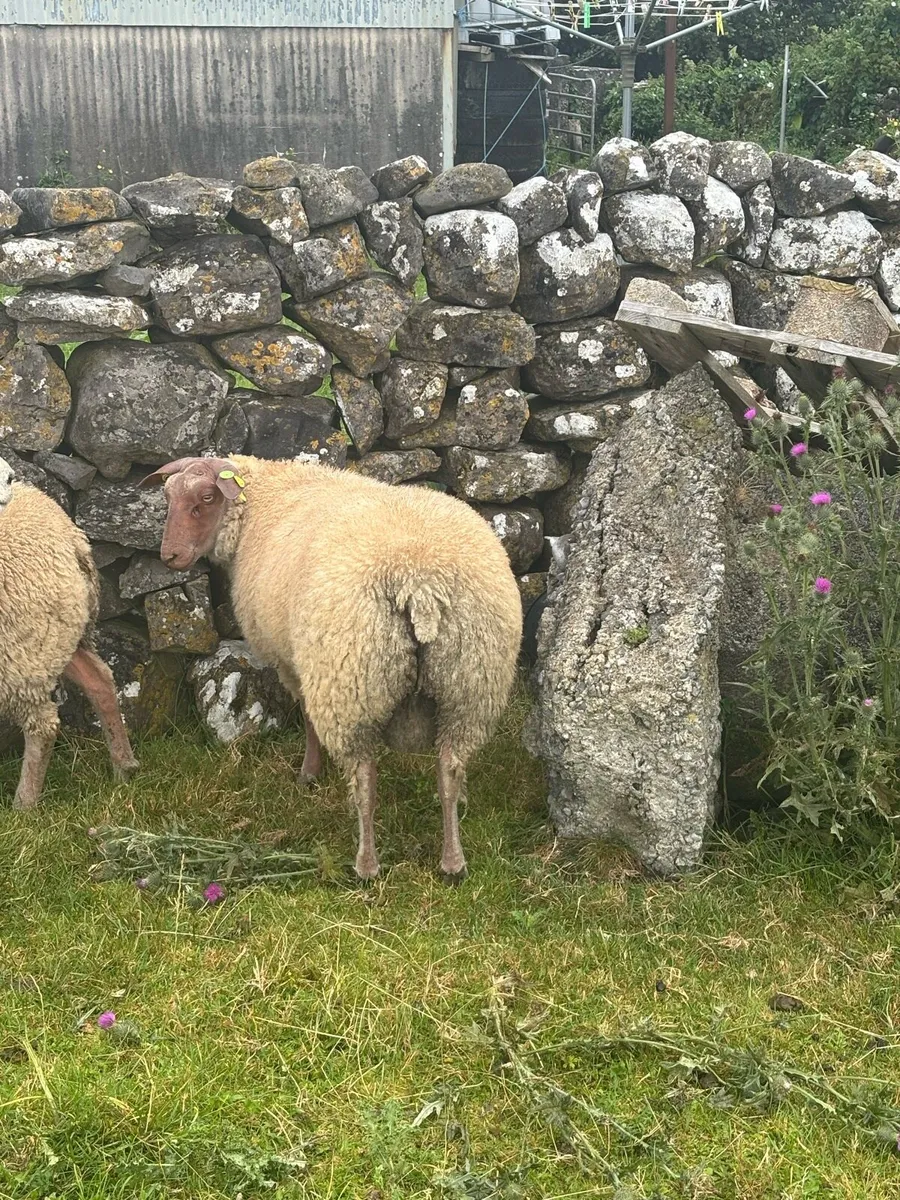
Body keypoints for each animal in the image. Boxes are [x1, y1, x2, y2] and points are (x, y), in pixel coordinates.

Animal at [0, 459, 139, 809]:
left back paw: (24, 806)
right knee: (99, 678)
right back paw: (124, 766)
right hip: (57, 633)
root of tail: (71, 537)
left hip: (20, 651)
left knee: (43, 726)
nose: (9, 479)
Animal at [140, 454, 523, 881]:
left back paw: (367, 864)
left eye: (206, 498)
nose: (170, 556)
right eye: (167, 495)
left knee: (365, 777)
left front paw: (309, 773)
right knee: (450, 768)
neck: (264, 499)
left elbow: (306, 716)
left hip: (349, 682)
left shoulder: (291, 660)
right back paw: (453, 860)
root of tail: (420, 583)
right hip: (470, 684)